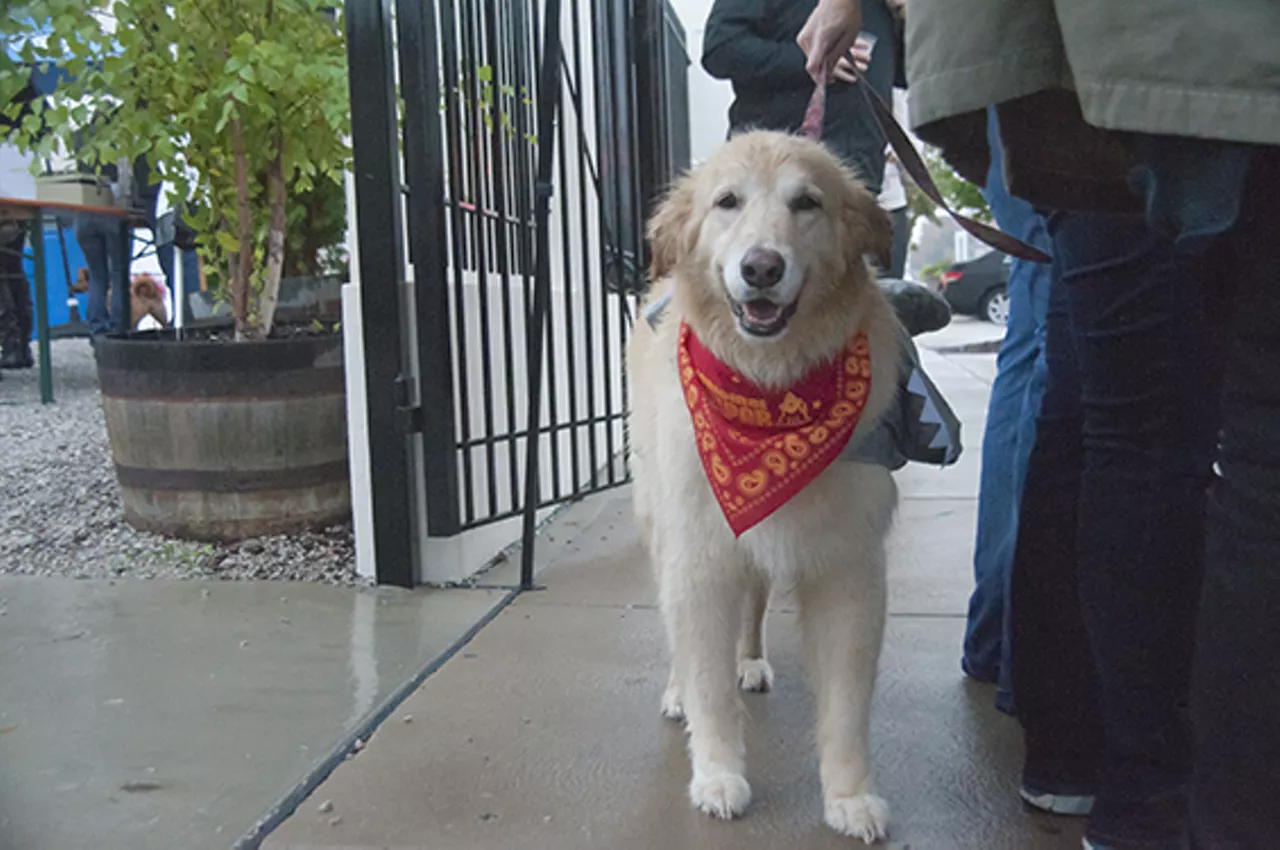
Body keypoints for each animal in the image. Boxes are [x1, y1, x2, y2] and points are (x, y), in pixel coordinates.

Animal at [629, 133, 901, 844]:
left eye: (807, 203)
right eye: (727, 202)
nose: (761, 269)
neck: (769, 386)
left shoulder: (848, 567)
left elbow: (846, 706)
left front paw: (850, 797)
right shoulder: (699, 556)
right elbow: (707, 680)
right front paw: (718, 774)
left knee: (753, 602)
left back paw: (749, 659)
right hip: (662, 523)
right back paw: (678, 691)